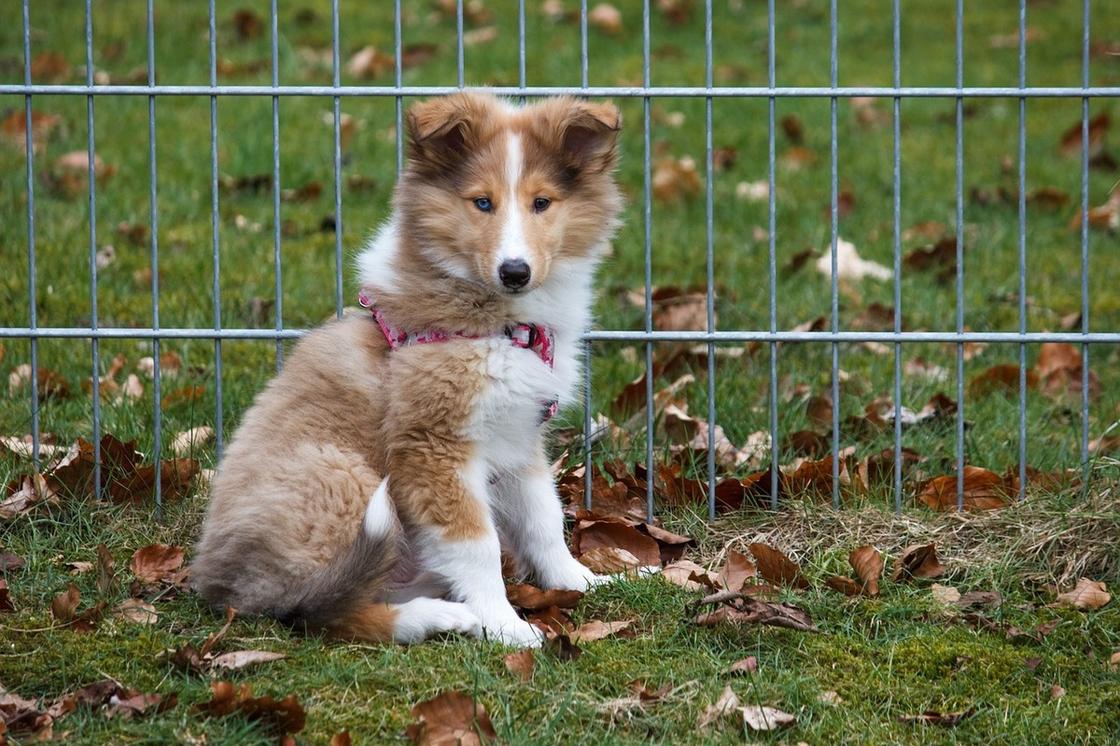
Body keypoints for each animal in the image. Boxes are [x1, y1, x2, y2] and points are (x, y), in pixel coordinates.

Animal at [194, 91, 631, 645]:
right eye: (482, 203)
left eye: (542, 203)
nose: (514, 272)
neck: (492, 319)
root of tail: (221, 587)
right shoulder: (434, 446)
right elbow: (479, 544)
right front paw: (505, 625)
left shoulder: (517, 437)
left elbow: (543, 521)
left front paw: (586, 581)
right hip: (339, 475)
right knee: (323, 612)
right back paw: (444, 617)